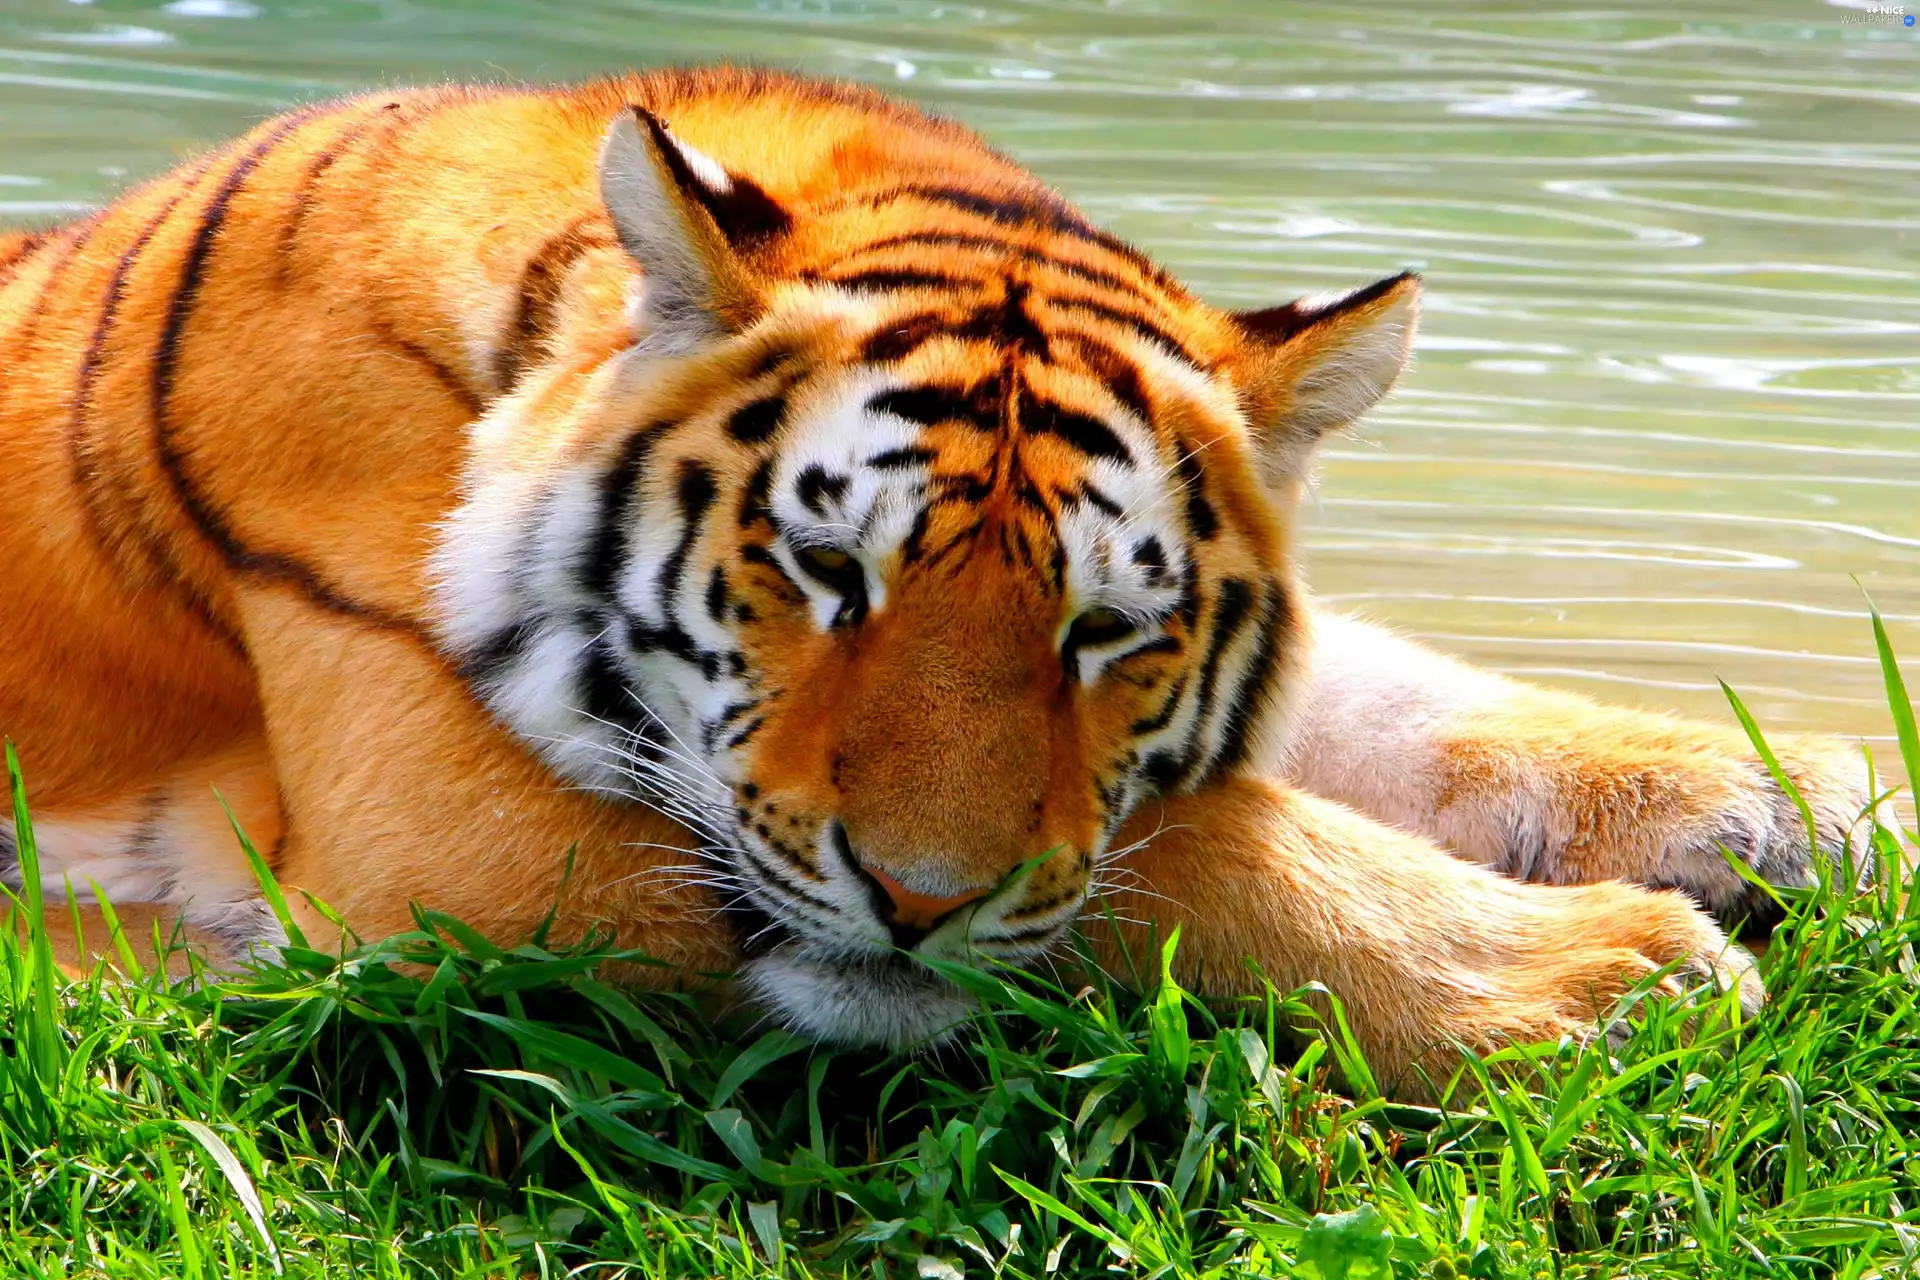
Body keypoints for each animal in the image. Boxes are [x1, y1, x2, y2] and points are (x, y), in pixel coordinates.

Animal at [0, 67, 1878, 1093]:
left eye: (1107, 629)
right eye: (827, 571)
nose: (914, 903)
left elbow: (1371, 704)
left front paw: (1796, 801)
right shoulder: (447, 842)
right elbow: (1189, 854)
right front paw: (1625, 975)